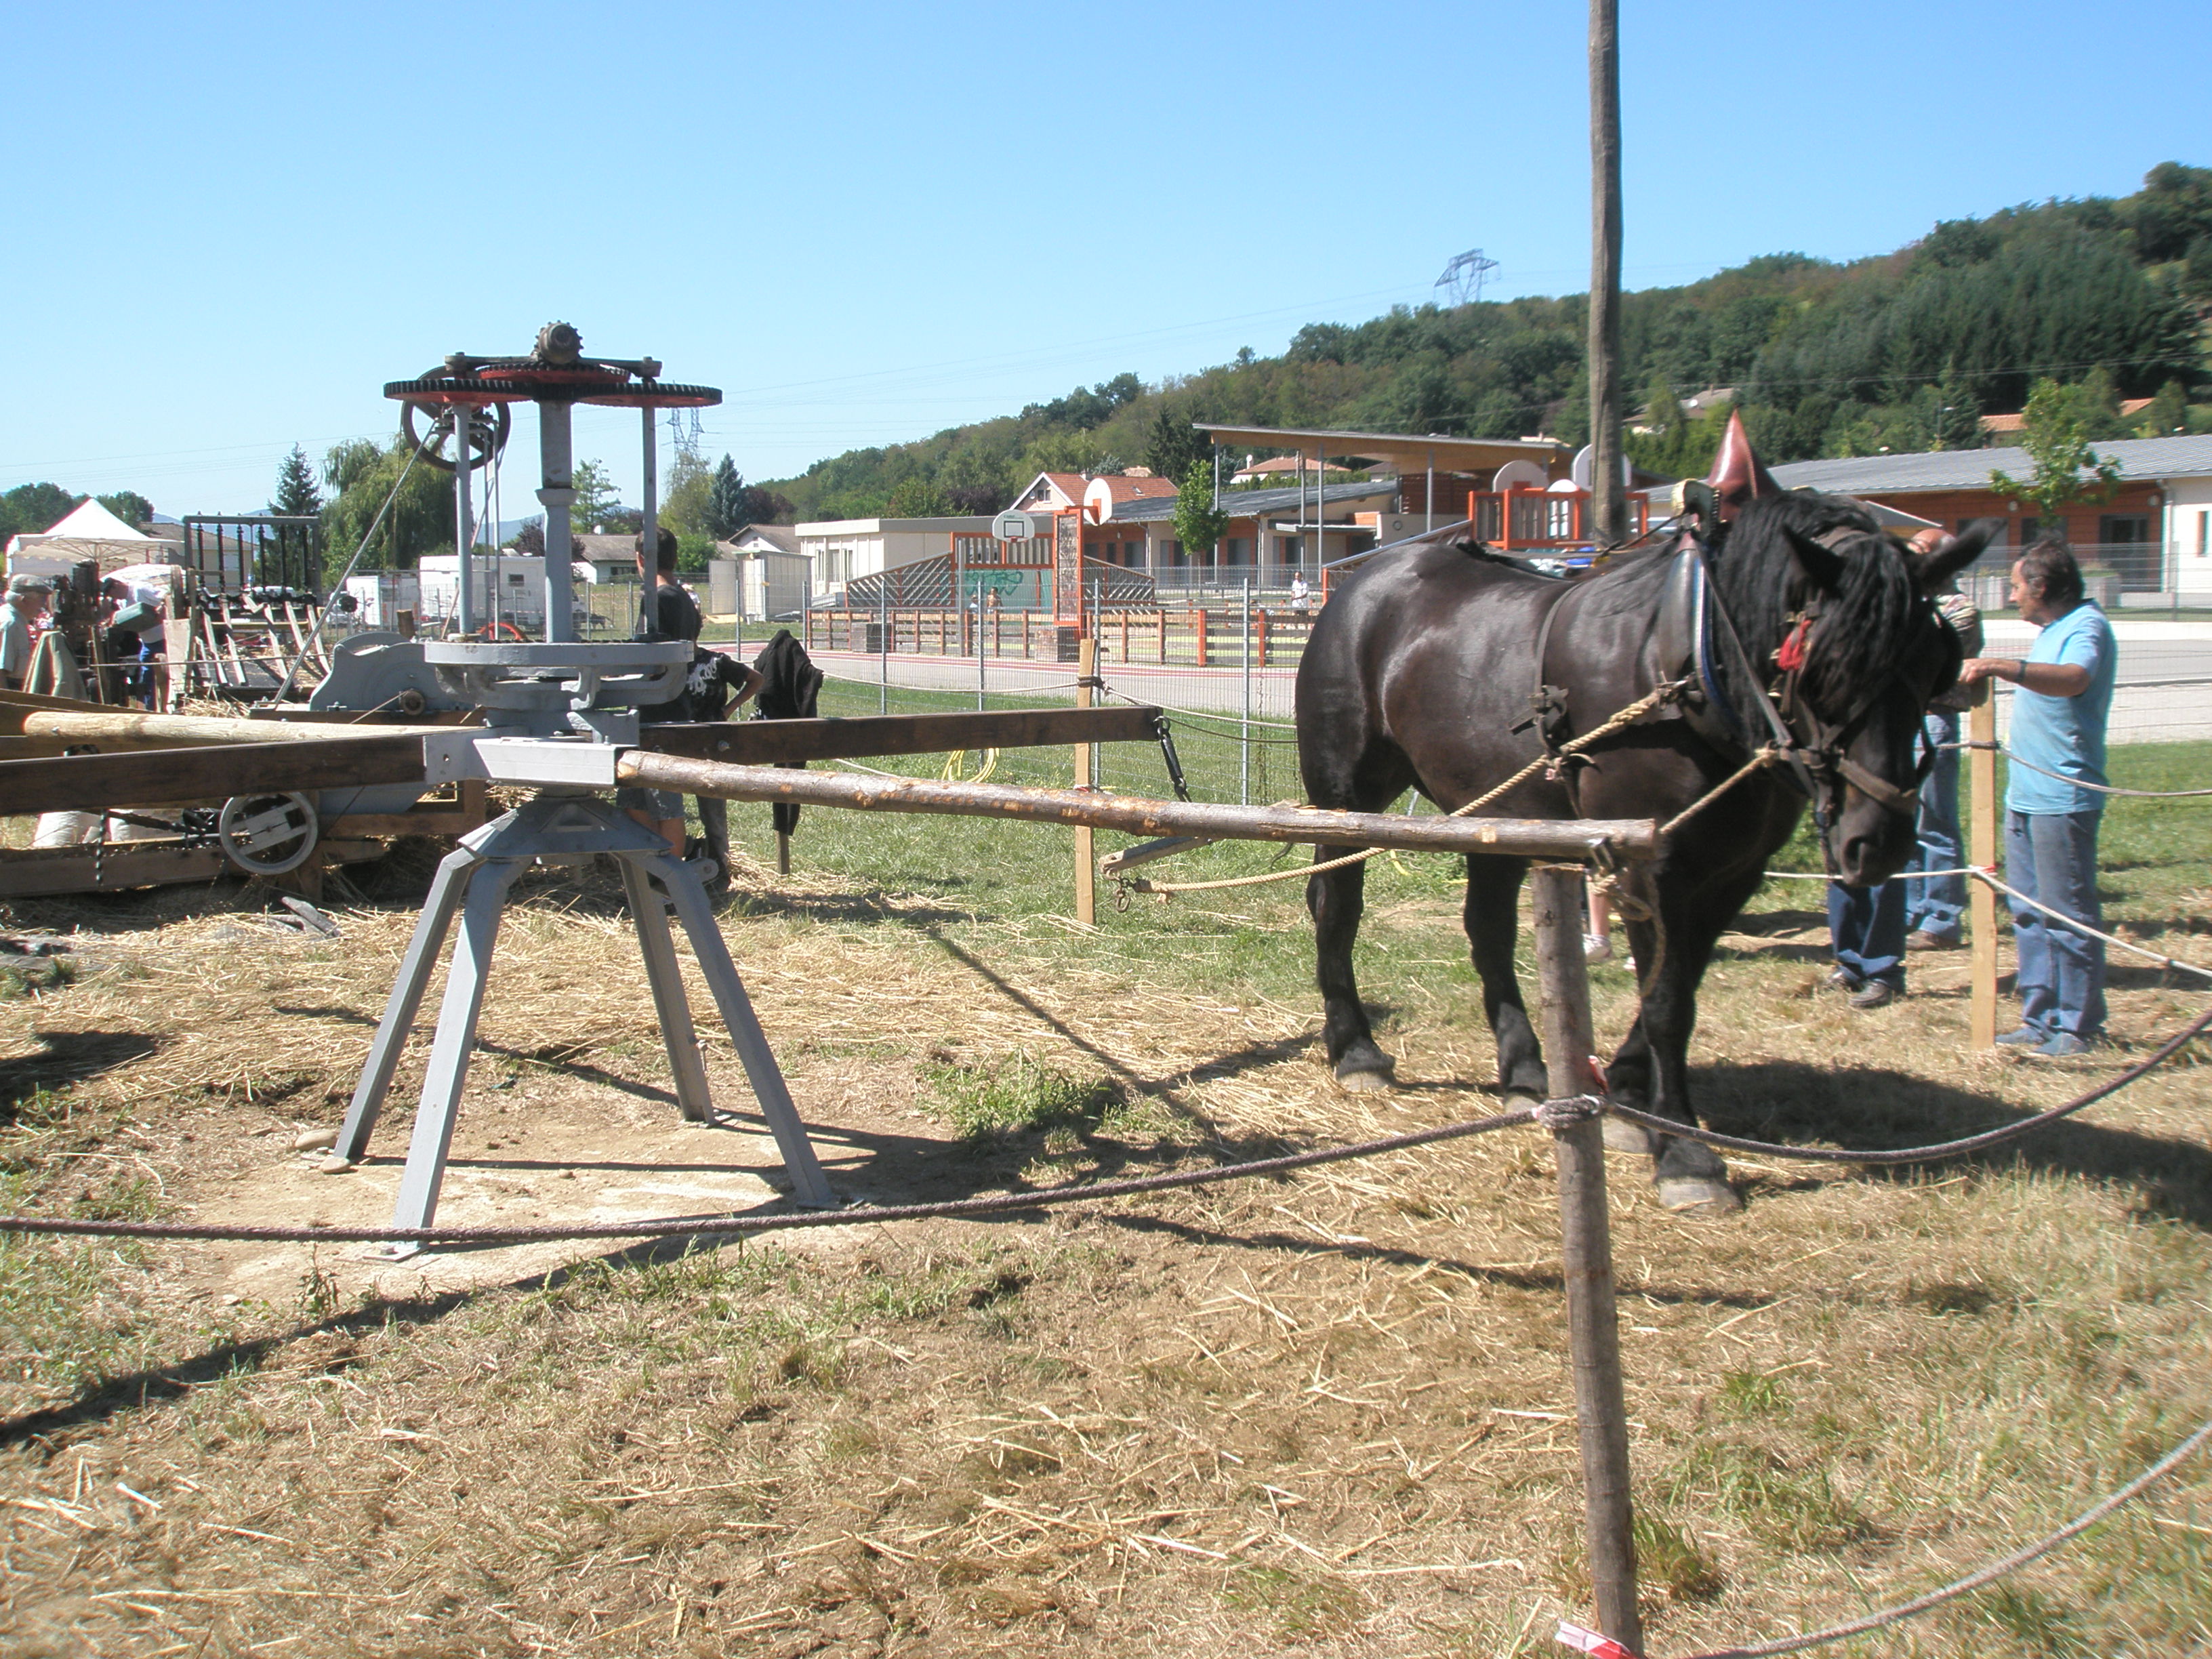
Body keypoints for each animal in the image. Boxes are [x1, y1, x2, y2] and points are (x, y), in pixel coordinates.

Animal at [1292, 473, 1990, 1212]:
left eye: (1934, 662)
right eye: (1827, 663)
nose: (1878, 841)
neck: (1689, 666)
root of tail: (1364, 581)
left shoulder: (1733, 871)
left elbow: (1679, 985)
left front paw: (1629, 1098)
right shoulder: (1650, 868)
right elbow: (1666, 1005)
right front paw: (1687, 1155)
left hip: (1497, 813)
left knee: (1488, 930)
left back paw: (1524, 1068)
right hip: (1346, 795)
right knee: (1336, 906)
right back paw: (1356, 1049)